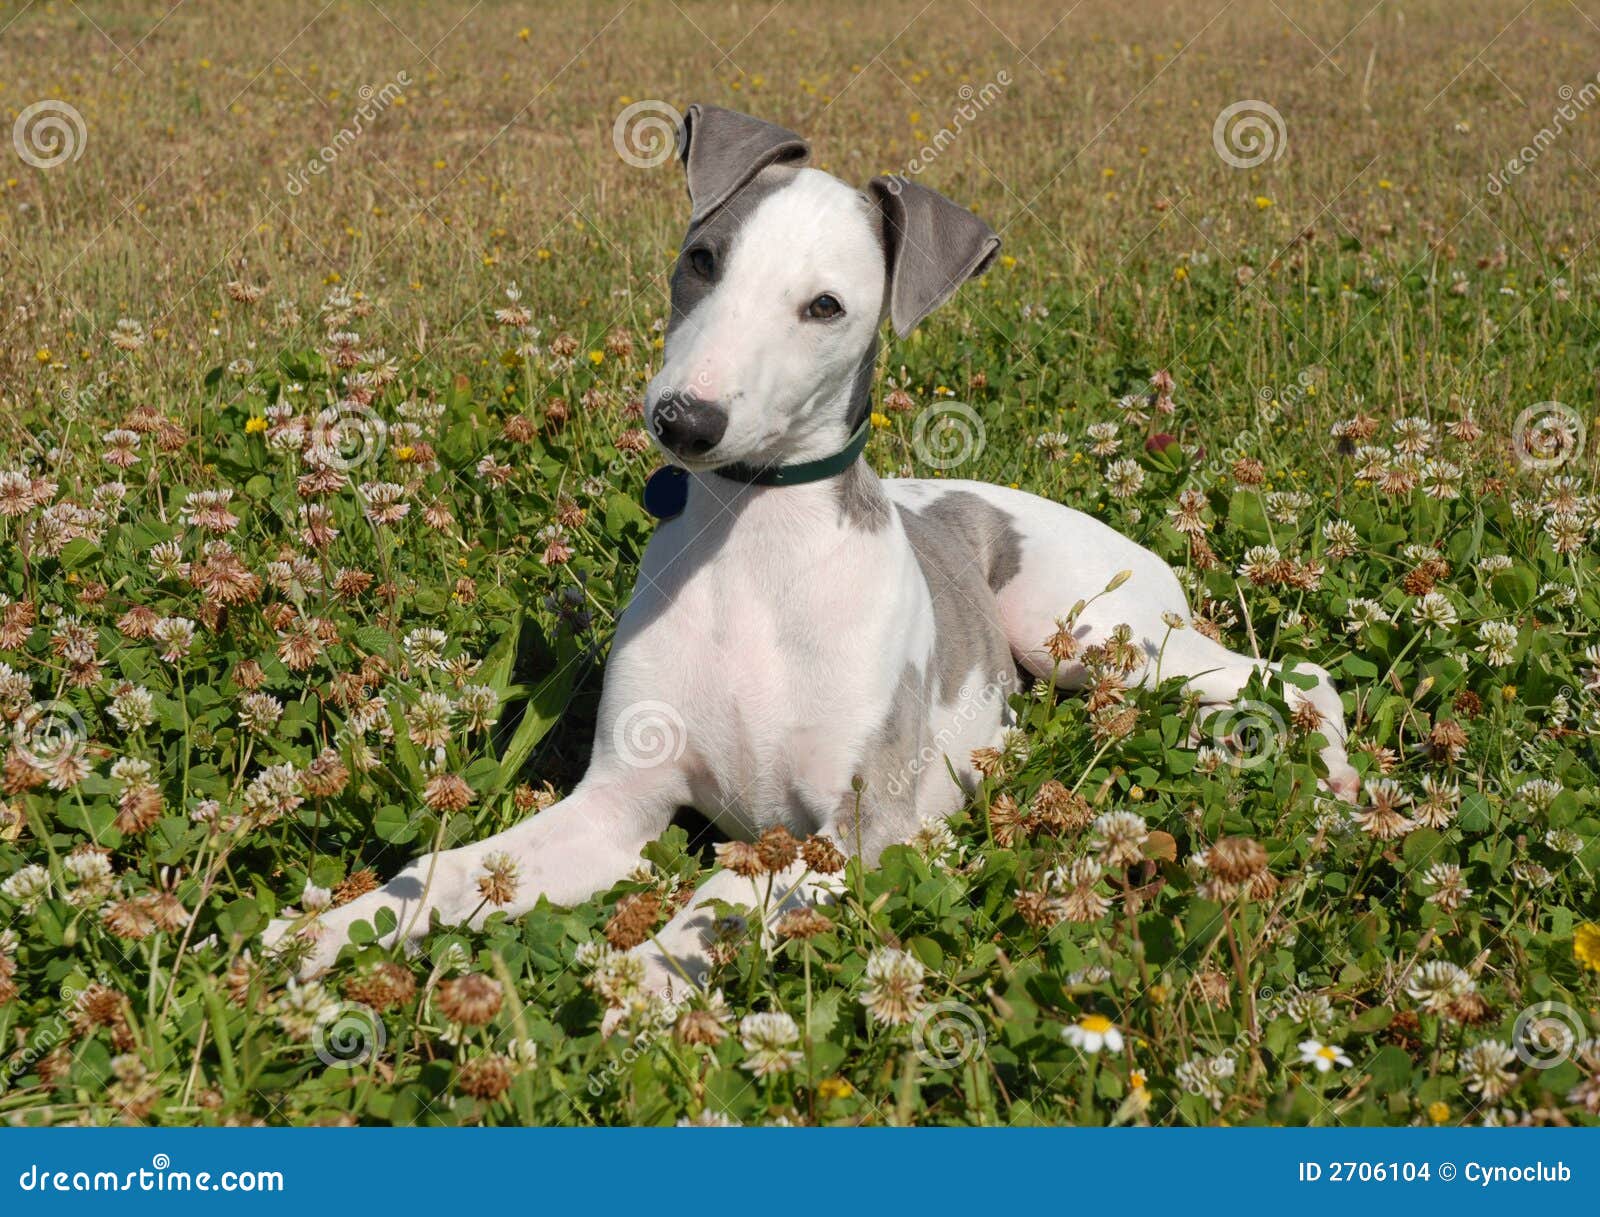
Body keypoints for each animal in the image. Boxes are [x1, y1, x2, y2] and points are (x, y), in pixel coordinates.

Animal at [275, 101, 1363, 978]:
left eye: (826, 306)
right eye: (702, 259)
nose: (685, 420)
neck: (756, 549)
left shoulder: (850, 831)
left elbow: (714, 897)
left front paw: (646, 984)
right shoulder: (617, 808)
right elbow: (455, 867)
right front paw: (317, 936)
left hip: (1097, 639)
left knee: (1300, 674)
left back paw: (1340, 792)